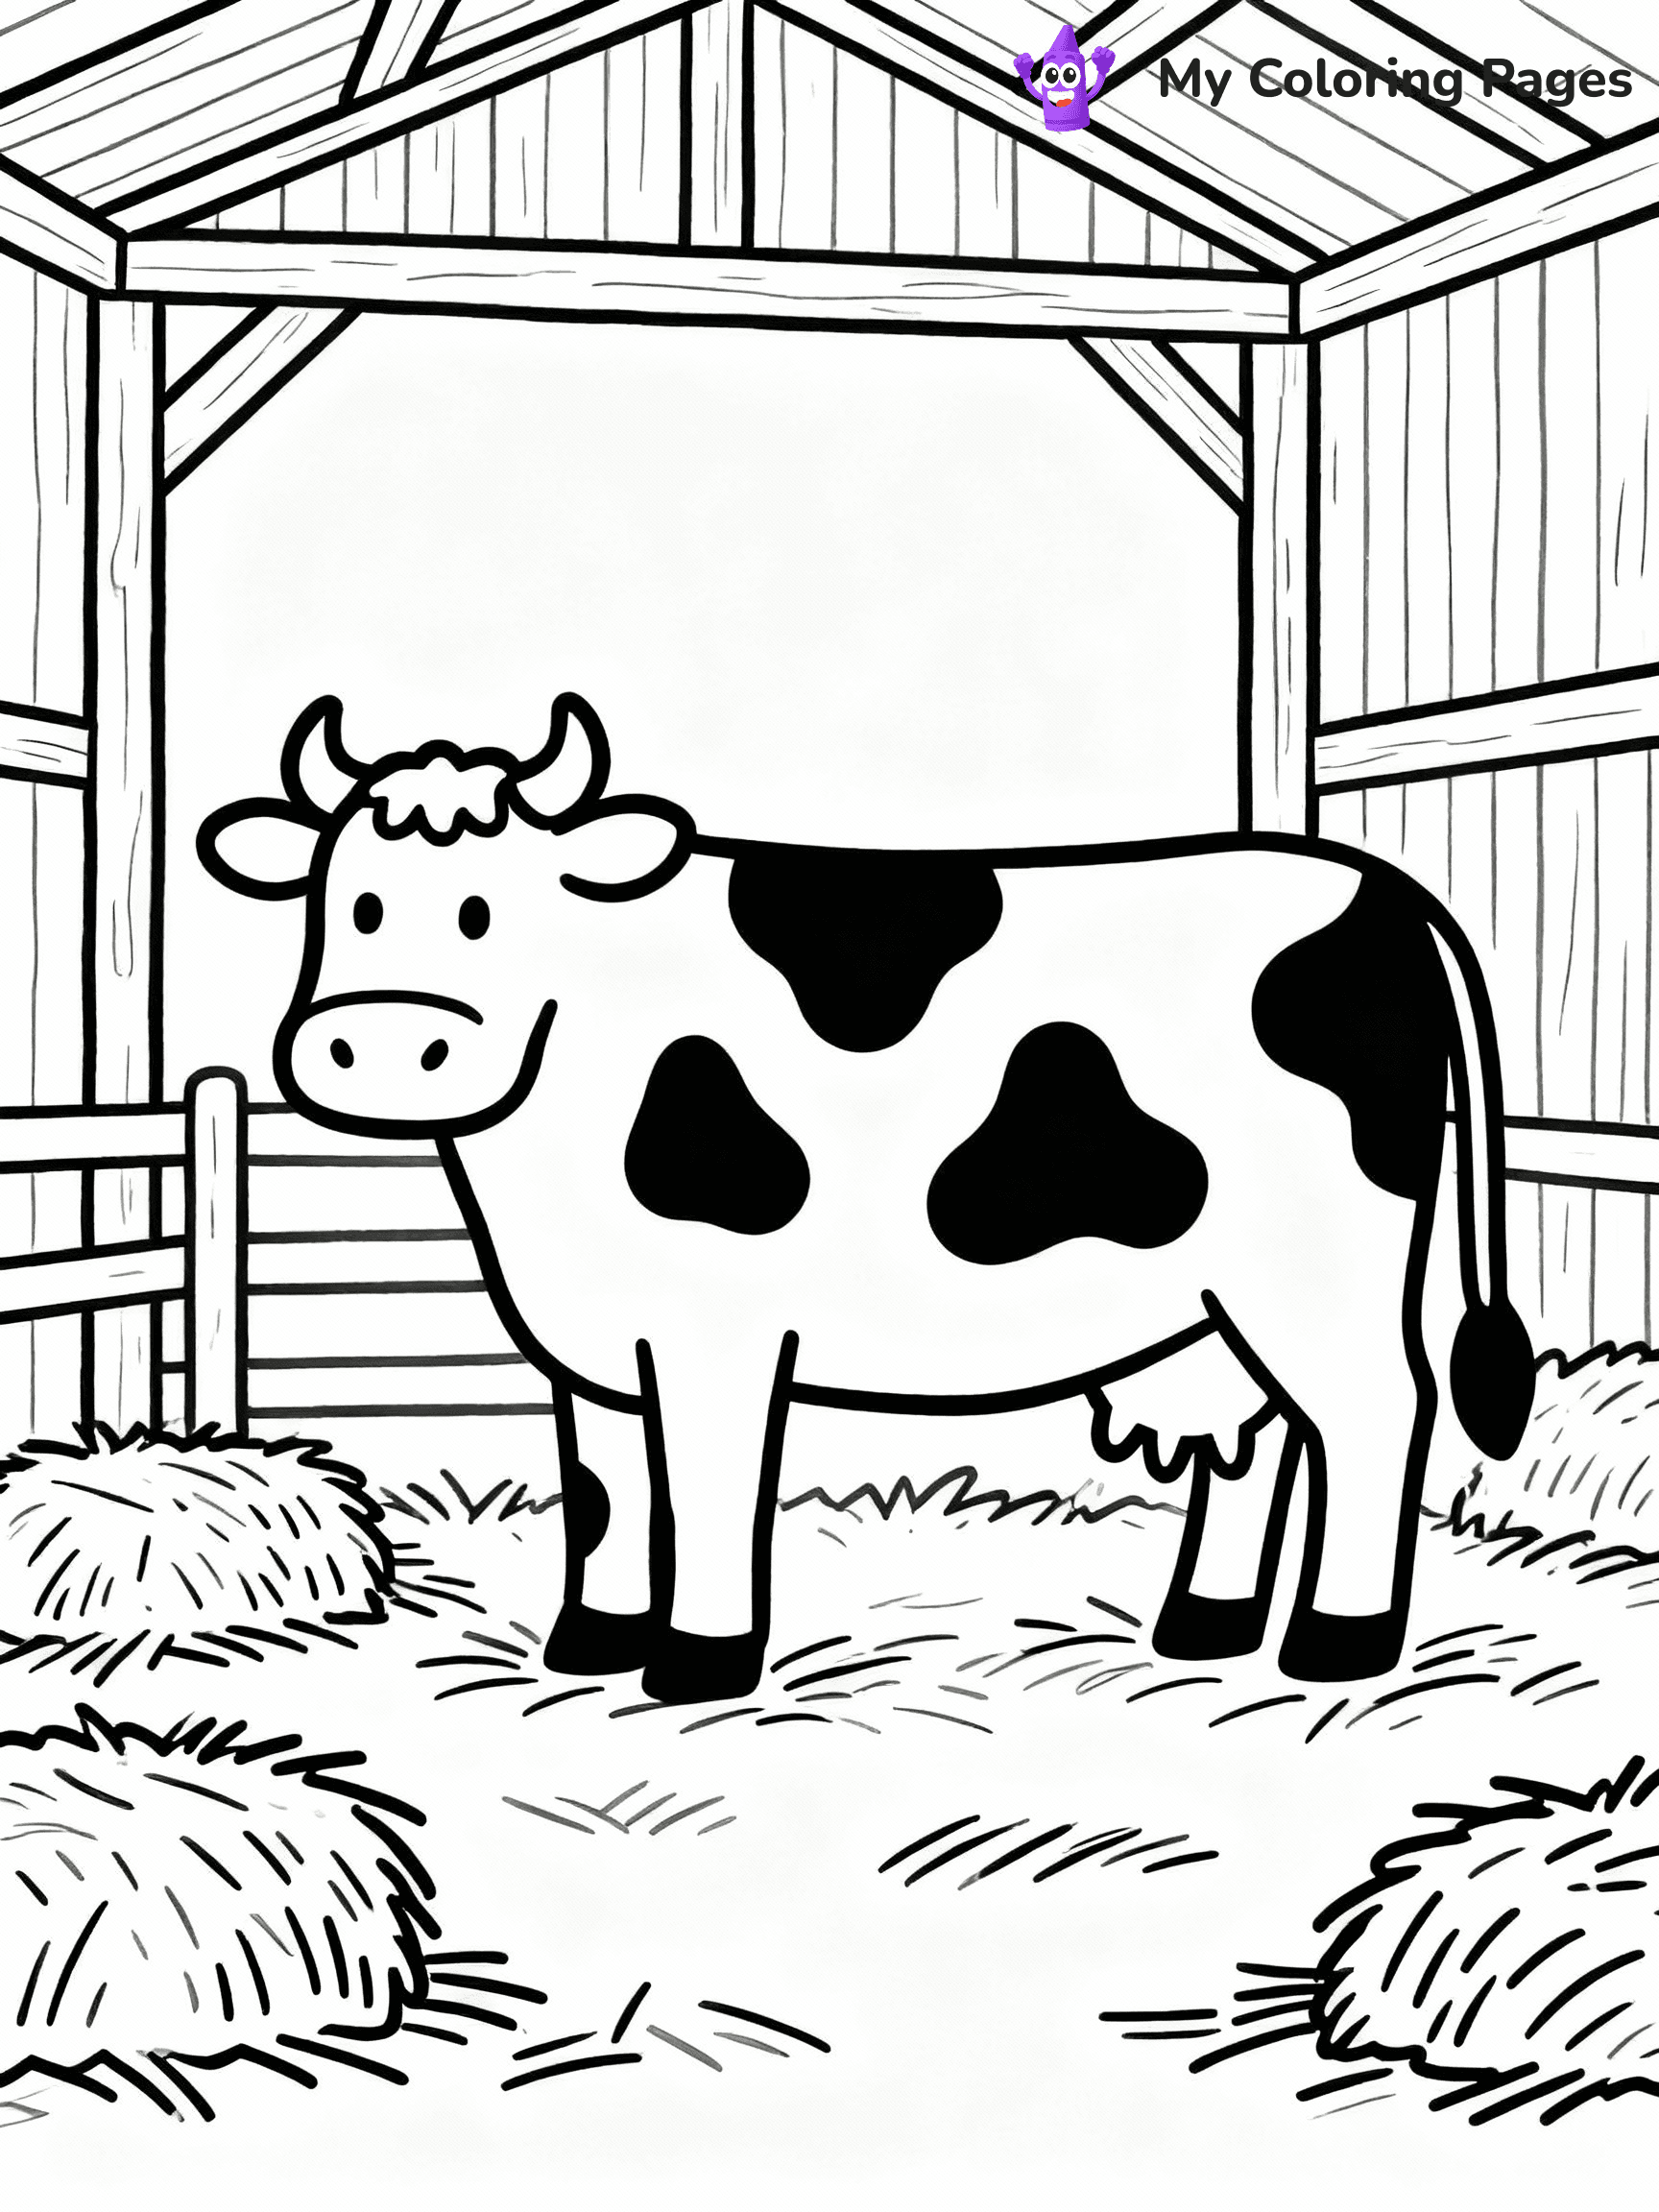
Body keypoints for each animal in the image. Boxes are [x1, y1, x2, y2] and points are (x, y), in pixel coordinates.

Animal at [199, 691, 1535, 1705]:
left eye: (489, 909)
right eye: (345, 901)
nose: (377, 1047)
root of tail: (1383, 889)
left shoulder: (719, 1323)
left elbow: (712, 1485)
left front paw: (696, 1665)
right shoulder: (594, 1348)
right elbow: (606, 1494)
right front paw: (590, 1645)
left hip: (1323, 1262)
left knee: (1374, 1411)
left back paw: (1337, 1644)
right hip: (1212, 1297)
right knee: (1256, 1433)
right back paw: (1202, 1627)